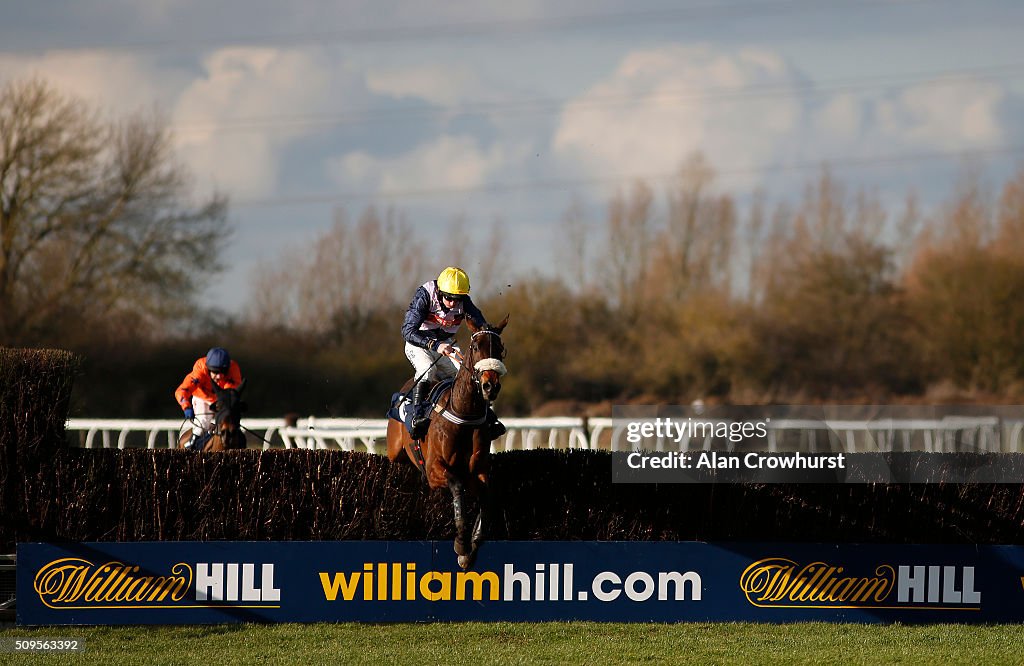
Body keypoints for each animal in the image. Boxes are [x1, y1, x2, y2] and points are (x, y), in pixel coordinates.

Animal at [385, 313, 509, 569]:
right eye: (475, 346)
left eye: (500, 348)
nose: (490, 386)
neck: (464, 413)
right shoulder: (434, 470)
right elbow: (457, 486)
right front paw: (461, 543)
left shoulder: (479, 470)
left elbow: (486, 498)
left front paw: (472, 545)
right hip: (394, 450)